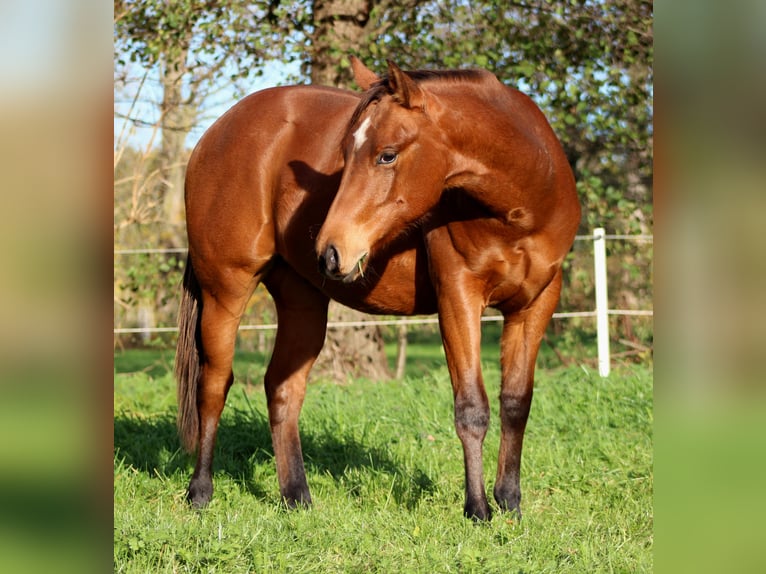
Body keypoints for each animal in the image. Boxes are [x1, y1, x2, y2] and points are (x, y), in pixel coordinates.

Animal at [175, 57, 580, 521]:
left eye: (387, 155)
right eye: (345, 153)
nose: (330, 250)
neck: (522, 204)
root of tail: (214, 132)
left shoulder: (536, 304)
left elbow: (516, 403)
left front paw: (510, 502)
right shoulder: (458, 298)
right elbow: (472, 408)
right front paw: (478, 509)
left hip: (302, 301)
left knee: (282, 388)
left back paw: (297, 497)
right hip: (225, 291)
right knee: (214, 384)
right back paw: (200, 492)